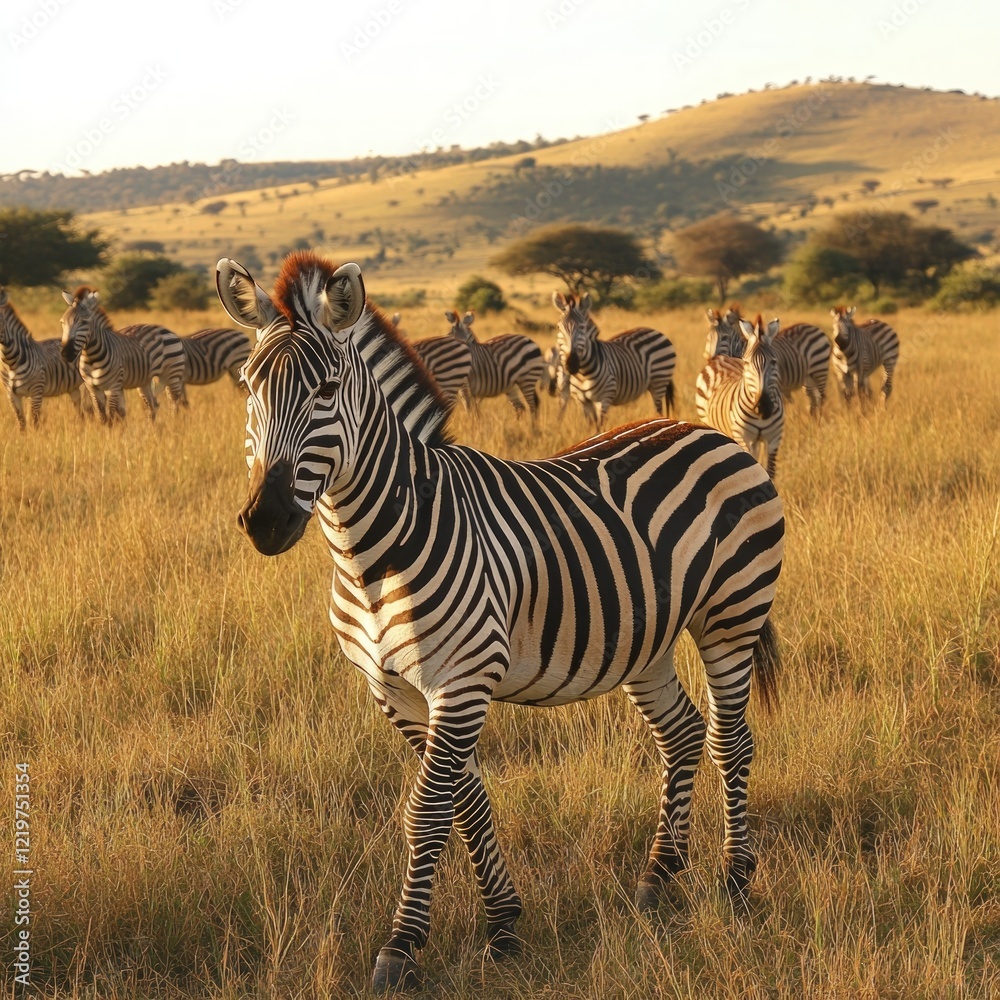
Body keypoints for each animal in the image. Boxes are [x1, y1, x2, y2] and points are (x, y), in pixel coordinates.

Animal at [0, 286, 87, 429]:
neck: (11, 362)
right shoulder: (11, 395)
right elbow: (21, 423)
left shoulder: (36, 392)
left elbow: (33, 422)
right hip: (74, 387)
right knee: (83, 414)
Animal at [59, 287, 186, 423]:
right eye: (62, 322)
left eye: (84, 322)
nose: (66, 353)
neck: (92, 358)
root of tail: (166, 329)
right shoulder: (93, 388)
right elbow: (103, 415)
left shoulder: (113, 387)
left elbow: (112, 415)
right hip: (145, 380)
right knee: (153, 406)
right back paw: (150, 428)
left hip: (172, 375)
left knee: (174, 404)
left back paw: (174, 424)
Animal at [553, 292, 675, 430]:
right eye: (558, 328)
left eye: (583, 328)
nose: (571, 364)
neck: (583, 374)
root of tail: (657, 331)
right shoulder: (583, 402)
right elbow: (592, 429)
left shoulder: (604, 399)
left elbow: (600, 428)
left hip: (659, 381)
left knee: (659, 410)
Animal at [696, 316, 784, 478]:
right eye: (747, 363)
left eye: (774, 362)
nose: (763, 406)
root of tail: (721, 357)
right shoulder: (745, 439)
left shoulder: (774, 440)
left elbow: (769, 471)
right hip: (709, 422)